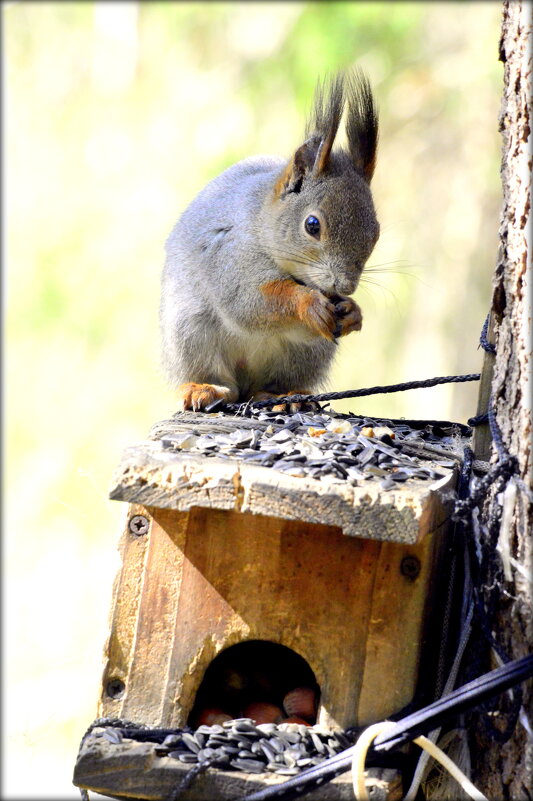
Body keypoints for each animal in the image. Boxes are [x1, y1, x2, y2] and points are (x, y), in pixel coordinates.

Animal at [160, 71, 380, 410]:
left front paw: (353, 312)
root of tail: (245, 381)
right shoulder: (230, 256)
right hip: (191, 333)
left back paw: (284, 396)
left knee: (272, 384)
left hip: (305, 356)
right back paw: (204, 388)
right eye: (312, 225)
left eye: (376, 231)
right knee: (215, 377)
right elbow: (250, 302)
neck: (260, 223)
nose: (345, 287)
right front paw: (308, 303)